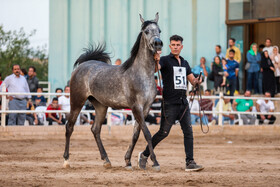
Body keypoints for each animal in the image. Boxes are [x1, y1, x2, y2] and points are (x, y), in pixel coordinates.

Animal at [63, 13, 164, 171]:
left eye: (159, 30)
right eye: (146, 31)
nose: (158, 43)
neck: (141, 73)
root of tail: (83, 66)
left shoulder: (145, 108)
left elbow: (136, 134)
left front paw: (128, 161)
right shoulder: (136, 107)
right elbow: (147, 133)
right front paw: (155, 162)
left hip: (100, 106)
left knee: (95, 129)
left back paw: (106, 160)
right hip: (77, 102)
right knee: (69, 127)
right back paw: (66, 160)